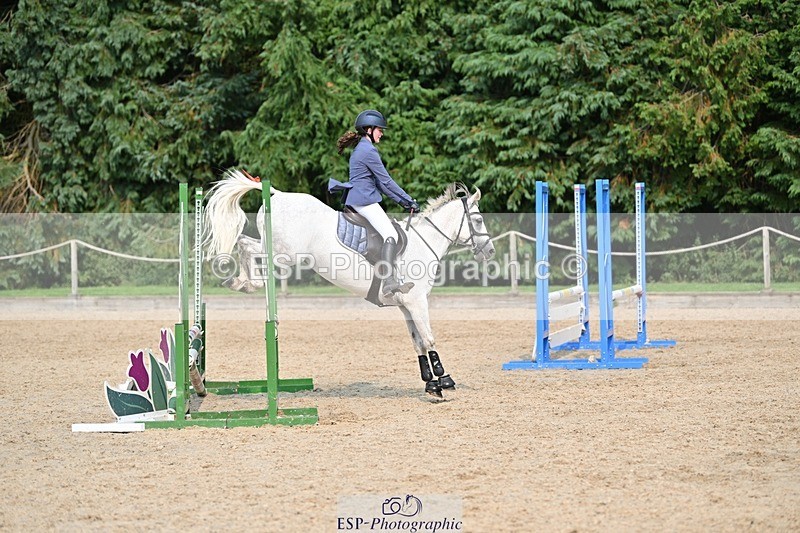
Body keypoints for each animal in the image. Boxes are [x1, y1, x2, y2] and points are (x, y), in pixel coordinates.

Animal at [203, 169, 496, 398]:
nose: (490, 251)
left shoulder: (406, 306)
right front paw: (443, 380)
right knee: (249, 247)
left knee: (244, 242)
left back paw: (241, 282)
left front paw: (430, 383)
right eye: (479, 219)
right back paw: (246, 281)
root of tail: (279, 194)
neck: (422, 243)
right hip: (284, 254)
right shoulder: (417, 302)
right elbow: (429, 338)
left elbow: (418, 342)